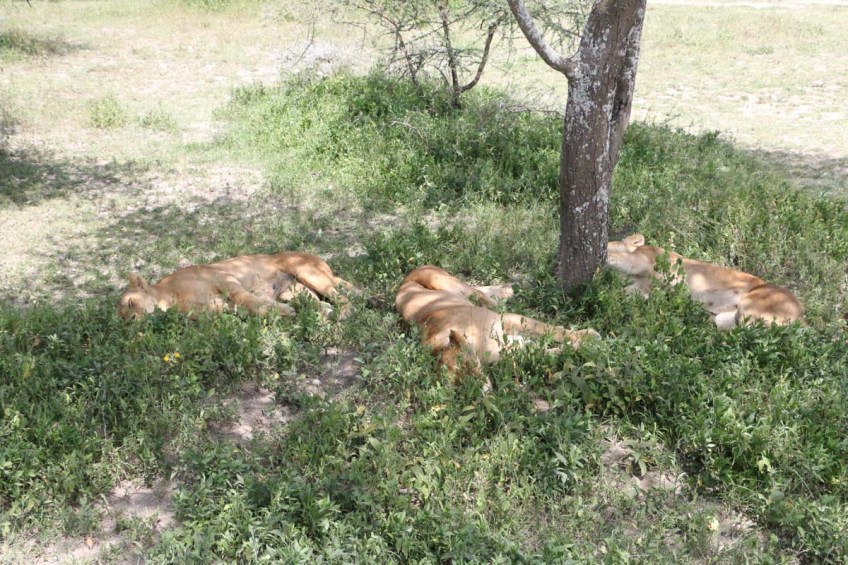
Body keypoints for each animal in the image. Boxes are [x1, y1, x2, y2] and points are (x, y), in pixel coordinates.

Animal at [117, 252, 354, 320]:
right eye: (121, 318)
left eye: (130, 303)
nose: (130, 321)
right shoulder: (218, 308)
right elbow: (251, 306)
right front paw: (280, 312)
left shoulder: (225, 279)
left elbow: (247, 299)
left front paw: (283, 312)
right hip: (294, 291)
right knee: (319, 302)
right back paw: (322, 312)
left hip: (308, 273)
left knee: (345, 297)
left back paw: (342, 314)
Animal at [395, 265, 600, 376]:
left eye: (465, 365)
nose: (480, 388)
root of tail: (404, 281)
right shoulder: (517, 348)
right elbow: (552, 351)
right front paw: (583, 346)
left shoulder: (508, 319)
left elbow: (553, 330)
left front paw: (588, 335)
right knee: (490, 290)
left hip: (447, 283)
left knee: (484, 295)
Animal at [607, 234, 803, 328]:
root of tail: (802, 315)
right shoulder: (641, 289)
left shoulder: (642, 260)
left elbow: (613, 256)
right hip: (732, 316)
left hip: (753, 305)